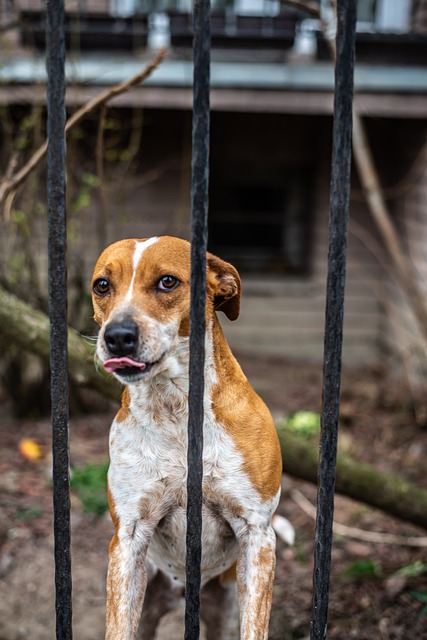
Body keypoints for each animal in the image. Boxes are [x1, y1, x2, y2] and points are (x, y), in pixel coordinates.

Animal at [93, 238, 288, 636]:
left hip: (223, 609)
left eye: (167, 281)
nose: (117, 336)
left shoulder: (257, 535)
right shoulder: (129, 539)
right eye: (101, 286)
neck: (175, 409)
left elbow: (255, 626)